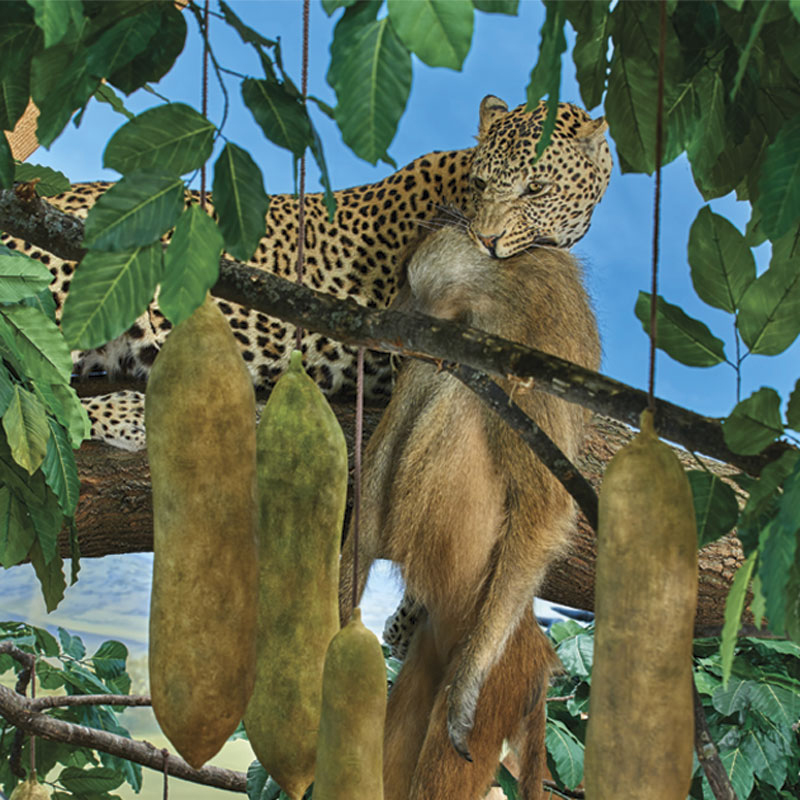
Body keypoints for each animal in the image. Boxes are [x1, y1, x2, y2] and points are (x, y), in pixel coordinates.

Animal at [338, 221, 601, 799]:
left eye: (406, 280)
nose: (397, 306)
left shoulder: (532, 340)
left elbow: (545, 507)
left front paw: (464, 693)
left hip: (503, 677)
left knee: (468, 406)